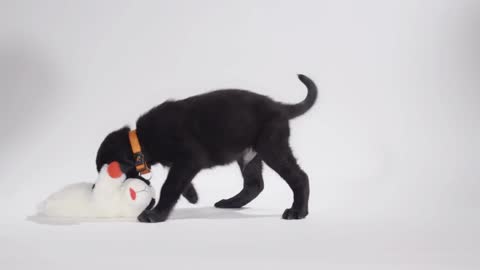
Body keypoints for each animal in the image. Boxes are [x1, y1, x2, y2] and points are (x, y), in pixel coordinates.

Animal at [95, 74, 316, 224]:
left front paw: (155, 214)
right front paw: (192, 196)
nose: (96, 187)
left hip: (272, 147)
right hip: (248, 155)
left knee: (300, 177)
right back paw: (230, 203)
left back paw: (297, 212)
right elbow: (179, 182)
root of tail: (280, 107)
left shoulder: (189, 159)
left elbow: (170, 186)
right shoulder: (182, 165)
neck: (141, 140)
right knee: (255, 184)